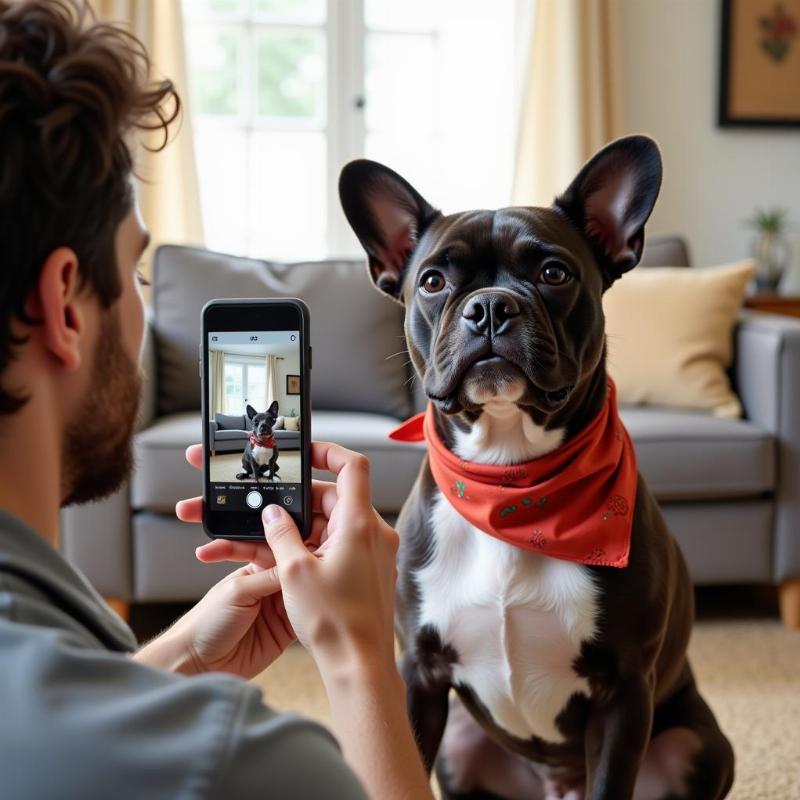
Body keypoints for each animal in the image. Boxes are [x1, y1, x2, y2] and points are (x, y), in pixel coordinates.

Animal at [340, 134, 736, 796]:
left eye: (555, 273)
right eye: (432, 281)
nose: (489, 307)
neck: (511, 480)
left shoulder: (625, 689)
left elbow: (611, 781)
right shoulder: (420, 677)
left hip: (695, 746)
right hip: (461, 748)